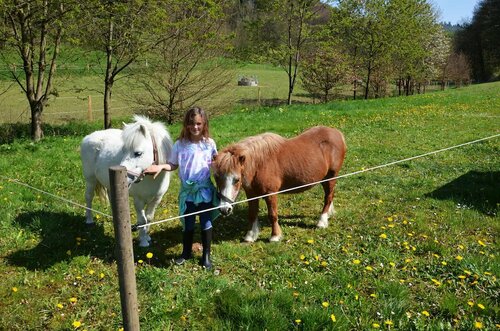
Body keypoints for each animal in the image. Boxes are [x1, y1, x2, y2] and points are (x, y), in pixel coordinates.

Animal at [81, 115, 173, 248]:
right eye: (123, 151)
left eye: (138, 153)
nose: (124, 175)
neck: (151, 177)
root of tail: (88, 137)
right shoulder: (138, 200)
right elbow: (142, 220)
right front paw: (143, 241)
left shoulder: (157, 199)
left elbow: (149, 218)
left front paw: (147, 236)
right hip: (90, 180)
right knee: (88, 197)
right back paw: (89, 220)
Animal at [212, 126, 348, 243]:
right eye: (217, 177)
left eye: (237, 179)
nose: (224, 209)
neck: (260, 164)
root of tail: (337, 133)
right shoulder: (252, 194)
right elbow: (252, 214)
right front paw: (250, 236)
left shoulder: (270, 194)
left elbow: (272, 215)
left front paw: (275, 236)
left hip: (331, 176)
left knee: (328, 197)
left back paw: (322, 221)